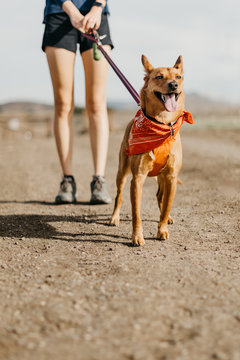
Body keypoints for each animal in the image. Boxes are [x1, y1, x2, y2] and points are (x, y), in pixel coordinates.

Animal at [109, 54, 193, 245]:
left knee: (160, 196)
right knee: (119, 195)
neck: (162, 124)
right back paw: (114, 217)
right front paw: (137, 236)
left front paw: (163, 228)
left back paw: (167, 218)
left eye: (178, 77)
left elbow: (166, 205)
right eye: (159, 76)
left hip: (162, 177)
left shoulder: (171, 177)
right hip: (122, 172)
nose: (173, 85)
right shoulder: (137, 178)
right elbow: (136, 213)